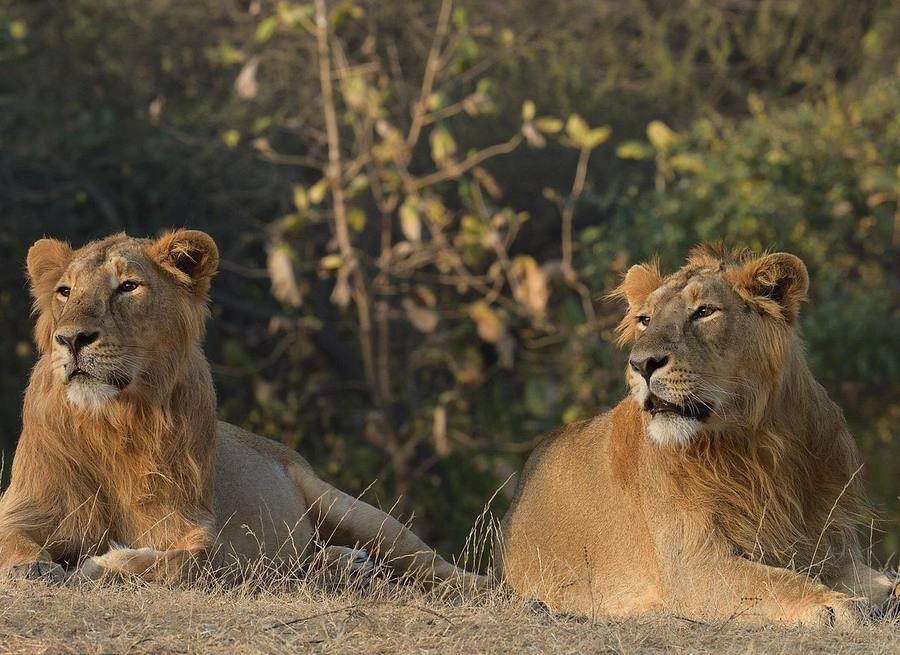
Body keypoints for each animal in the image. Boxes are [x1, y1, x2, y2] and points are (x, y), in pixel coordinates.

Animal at [0, 230, 483, 591]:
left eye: (128, 286)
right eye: (65, 291)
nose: (71, 339)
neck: (112, 423)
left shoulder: (196, 529)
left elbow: (182, 563)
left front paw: (98, 565)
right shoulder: (26, 506)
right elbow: (14, 539)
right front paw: (32, 566)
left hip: (349, 508)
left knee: (434, 567)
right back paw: (344, 567)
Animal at [498, 245, 897, 625]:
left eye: (704, 312)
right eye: (645, 320)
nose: (641, 364)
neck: (757, 442)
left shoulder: (833, 550)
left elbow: (884, 579)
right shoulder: (693, 568)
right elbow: (777, 581)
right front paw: (836, 604)